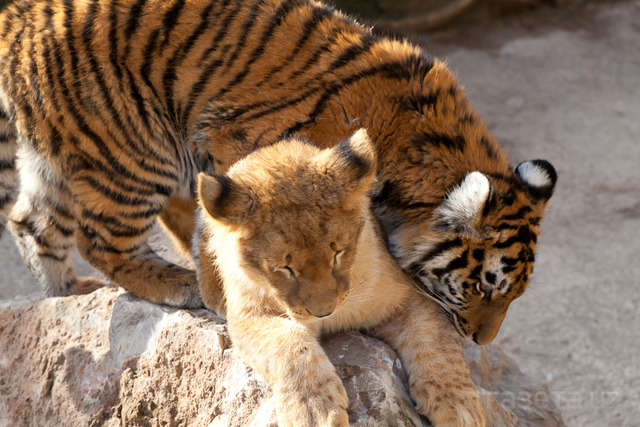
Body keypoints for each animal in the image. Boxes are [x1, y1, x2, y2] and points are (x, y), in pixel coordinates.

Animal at [0, 0, 556, 342]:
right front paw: (217, 294)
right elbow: (213, 229)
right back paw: (172, 284)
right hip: (131, 149)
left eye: (511, 294)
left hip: (63, 155)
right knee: (99, 239)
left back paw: (65, 298)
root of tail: (25, 15)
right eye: (485, 287)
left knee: (30, 222)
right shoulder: (228, 149)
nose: (480, 341)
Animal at [200, 129, 484, 426]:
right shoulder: (248, 316)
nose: (323, 312)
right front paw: (314, 409)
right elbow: (288, 344)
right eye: (282, 267)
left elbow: (438, 345)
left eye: (338, 252)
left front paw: (459, 407)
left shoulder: (410, 295)